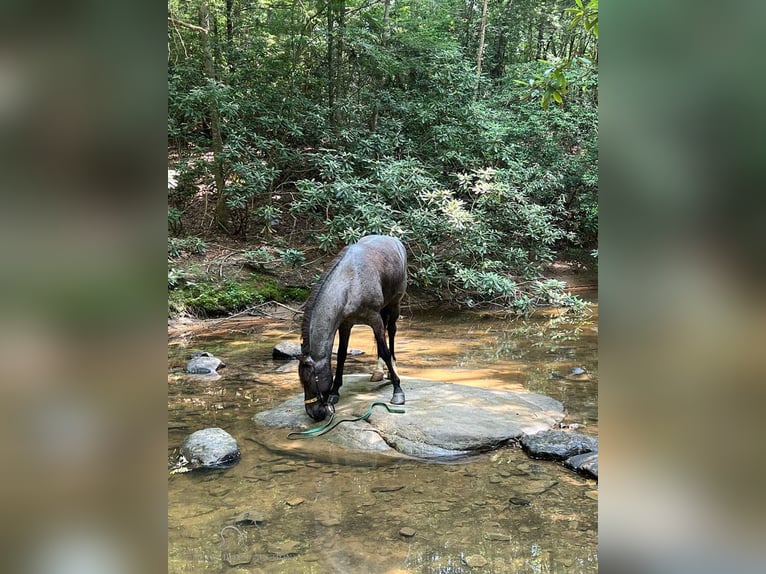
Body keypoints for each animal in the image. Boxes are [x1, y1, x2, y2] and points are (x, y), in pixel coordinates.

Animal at [300, 235, 408, 424]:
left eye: (311, 381)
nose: (313, 413)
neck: (351, 282)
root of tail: (394, 240)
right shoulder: (346, 324)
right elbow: (341, 355)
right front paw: (335, 391)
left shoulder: (374, 318)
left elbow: (385, 352)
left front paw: (398, 391)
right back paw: (378, 372)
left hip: (395, 304)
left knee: (392, 332)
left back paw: (391, 369)